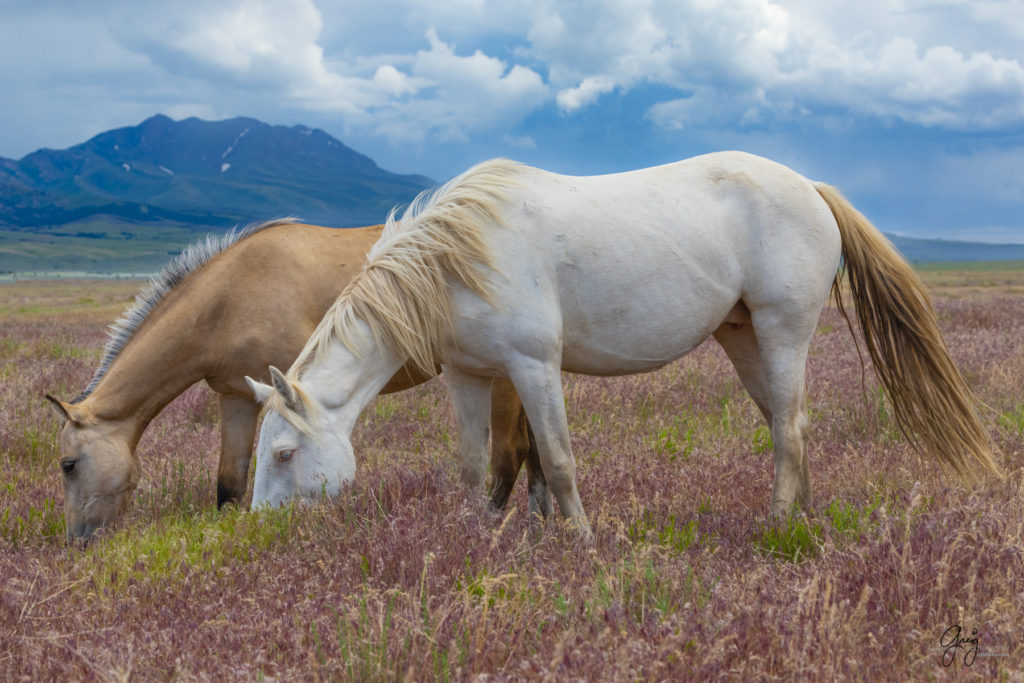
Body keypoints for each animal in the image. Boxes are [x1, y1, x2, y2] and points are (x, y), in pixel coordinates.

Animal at [46, 222, 552, 540]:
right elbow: (229, 484)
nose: (77, 541)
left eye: (68, 465)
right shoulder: (237, 398)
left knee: (511, 454)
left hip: (504, 377)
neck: (227, 299)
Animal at [245, 150, 999, 540]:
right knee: (789, 422)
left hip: (784, 333)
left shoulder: (533, 368)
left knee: (789, 427)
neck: (458, 259)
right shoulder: (468, 374)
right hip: (744, 340)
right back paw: (802, 516)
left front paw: (578, 541)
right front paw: (477, 535)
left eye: (283, 453)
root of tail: (810, 187)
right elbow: (472, 464)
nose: (258, 531)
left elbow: (557, 458)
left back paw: (778, 527)